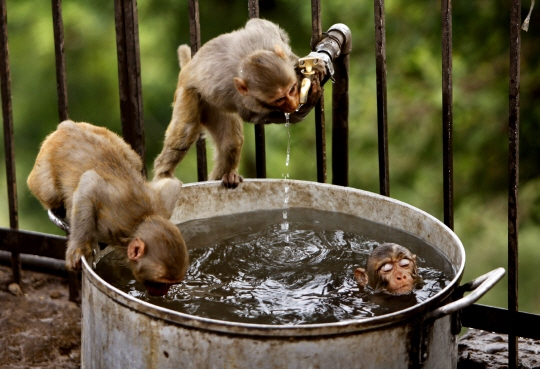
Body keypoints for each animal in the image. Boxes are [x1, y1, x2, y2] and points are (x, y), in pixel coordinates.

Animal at [27, 121, 189, 296]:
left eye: (171, 283)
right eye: (161, 283)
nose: (163, 292)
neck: (139, 221)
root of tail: (68, 126)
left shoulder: (161, 207)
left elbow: (173, 184)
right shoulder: (112, 220)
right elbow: (90, 182)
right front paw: (78, 248)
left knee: (134, 160)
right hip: (44, 165)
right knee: (50, 192)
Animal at [154, 18, 326, 188]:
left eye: (292, 89)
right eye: (279, 99)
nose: (292, 104)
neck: (246, 57)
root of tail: (187, 68)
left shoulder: (267, 37)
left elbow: (259, 23)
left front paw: (305, 65)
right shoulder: (245, 101)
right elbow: (255, 116)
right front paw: (305, 105)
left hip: (213, 109)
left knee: (231, 143)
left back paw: (226, 176)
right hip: (189, 93)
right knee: (186, 131)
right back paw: (164, 175)